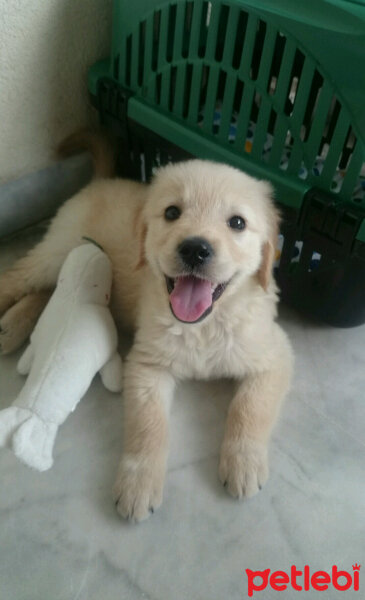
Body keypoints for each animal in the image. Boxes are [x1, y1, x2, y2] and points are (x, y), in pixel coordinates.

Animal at [0, 154, 292, 520]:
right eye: (172, 212)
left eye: (237, 223)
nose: (195, 249)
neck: (203, 326)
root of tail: (101, 181)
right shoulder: (146, 365)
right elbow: (147, 423)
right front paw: (137, 484)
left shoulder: (273, 354)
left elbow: (250, 406)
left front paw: (244, 463)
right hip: (57, 251)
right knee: (17, 278)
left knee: (47, 292)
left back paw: (11, 327)